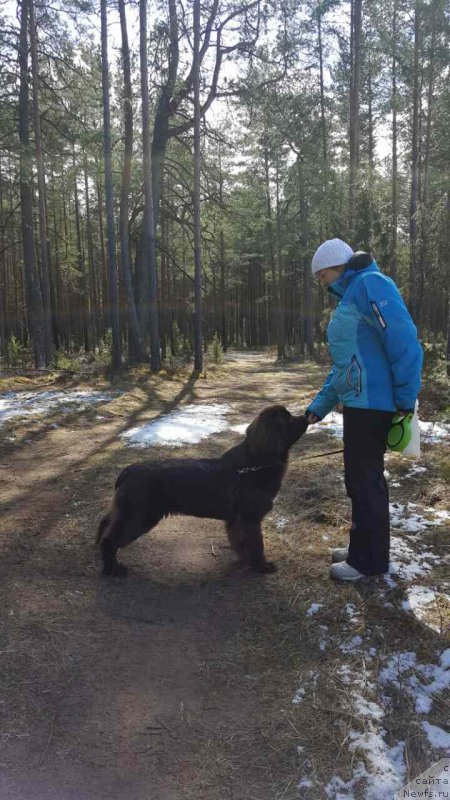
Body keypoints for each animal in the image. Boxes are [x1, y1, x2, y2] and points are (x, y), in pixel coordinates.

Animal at [95, 406, 306, 576]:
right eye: (289, 419)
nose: (306, 416)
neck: (255, 464)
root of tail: (126, 473)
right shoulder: (249, 518)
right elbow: (256, 544)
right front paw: (261, 567)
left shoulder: (236, 520)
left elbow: (239, 542)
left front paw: (245, 561)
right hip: (139, 517)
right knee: (109, 540)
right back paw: (113, 569)